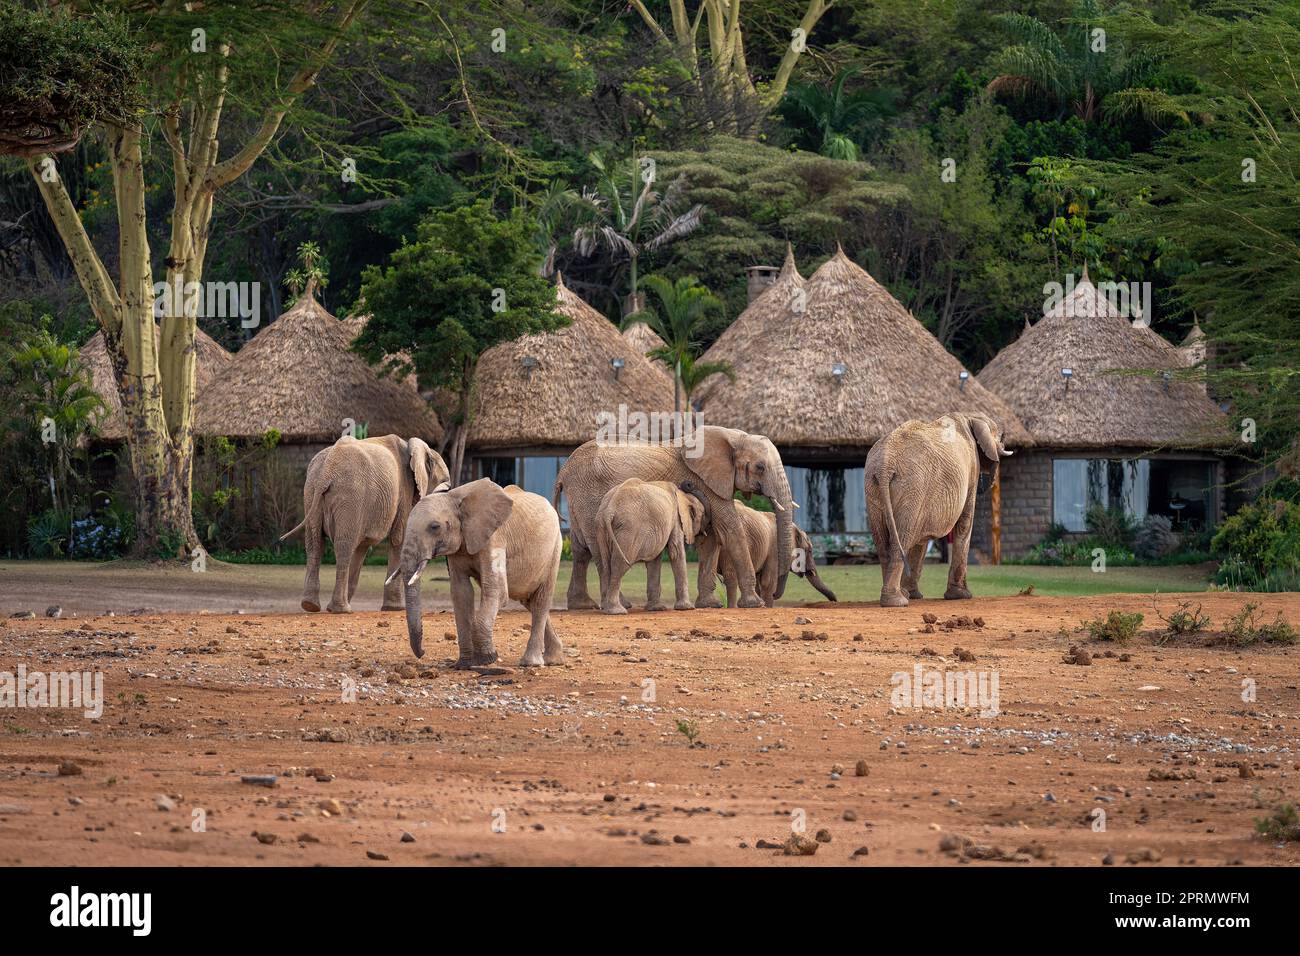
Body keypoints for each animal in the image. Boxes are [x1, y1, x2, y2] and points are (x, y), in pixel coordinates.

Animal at [282, 434, 449, 613]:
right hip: (350, 495)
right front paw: (394, 609)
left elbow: (362, 547)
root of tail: (327, 468)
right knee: (344, 546)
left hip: (311, 491)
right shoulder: (405, 491)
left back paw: (311, 606)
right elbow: (398, 539)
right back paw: (341, 609)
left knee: (315, 545)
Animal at [390, 481, 564, 671]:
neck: (455, 497)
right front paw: (463, 664)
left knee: (540, 601)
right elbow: (461, 593)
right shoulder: (458, 547)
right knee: (529, 601)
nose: (422, 653)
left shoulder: (494, 538)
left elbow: (496, 591)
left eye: (434, 527)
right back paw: (554, 660)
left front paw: (487, 659)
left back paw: (531, 663)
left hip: (555, 548)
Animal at [595, 476, 707, 613]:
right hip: (629, 530)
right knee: (619, 565)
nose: (688, 483)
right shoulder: (675, 518)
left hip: (601, 528)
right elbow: (676, 552)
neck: (683, 496)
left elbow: (655, 560)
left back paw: (606, 609)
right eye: (703, 514)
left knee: (606, 565)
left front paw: (656, 608)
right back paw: (617, 611)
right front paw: (687, 608)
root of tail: (609, 510)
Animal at [863, 411, 1013, 606]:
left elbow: (920, 540)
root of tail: (884, 465)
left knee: (884, 543)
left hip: (874, 487)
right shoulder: (972, 469)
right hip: (913, 487)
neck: (970, 417)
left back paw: (899, 596)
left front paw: (915, 595)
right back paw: (898, 601)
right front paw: (961, 596)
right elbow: (965, 522)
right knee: (901, 539)